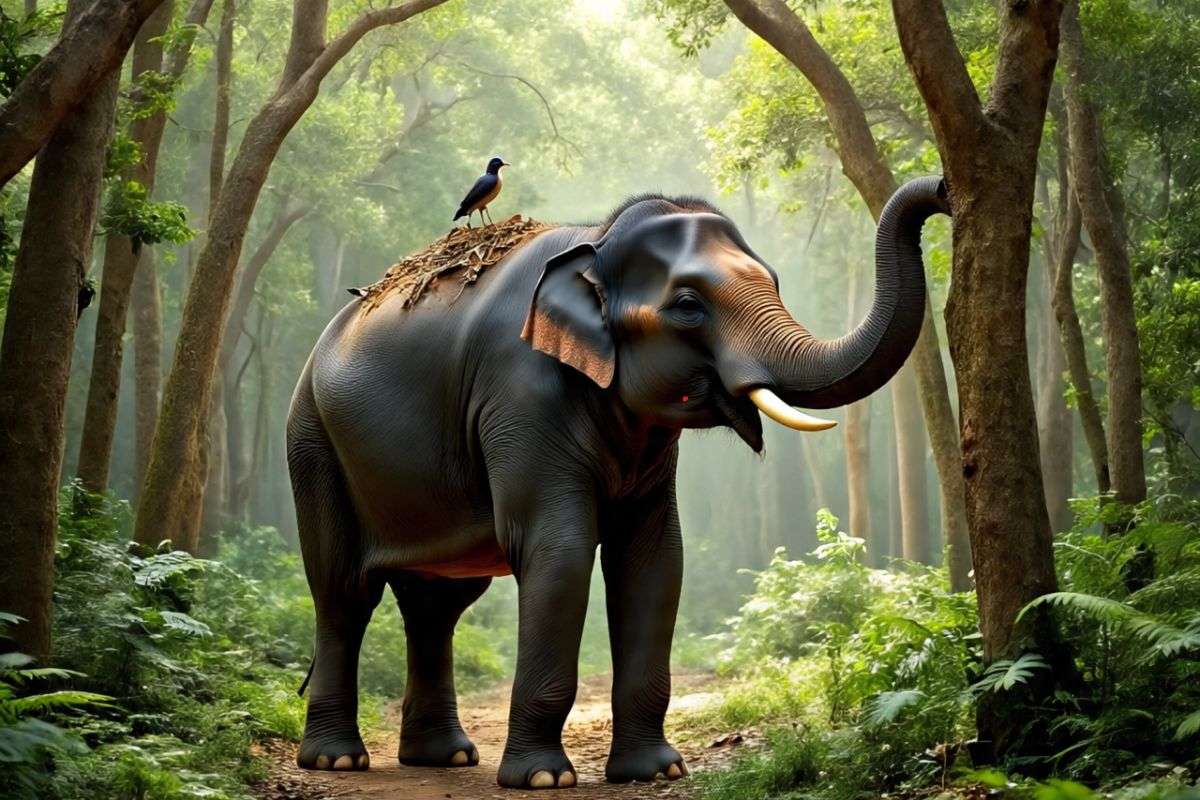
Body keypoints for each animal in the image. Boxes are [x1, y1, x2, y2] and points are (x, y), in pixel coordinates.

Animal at [286, 176, 949, 789]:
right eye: (688, 305)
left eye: (777, 283)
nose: (943, 189)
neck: (597, 242)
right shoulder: (520, 393)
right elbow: (560, 551)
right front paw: (542, 778)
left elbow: (655, 560)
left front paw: (656, 771)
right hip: (311, 440)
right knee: (344, 591)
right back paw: (338, 760)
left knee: (438, 604)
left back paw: (442, 757)